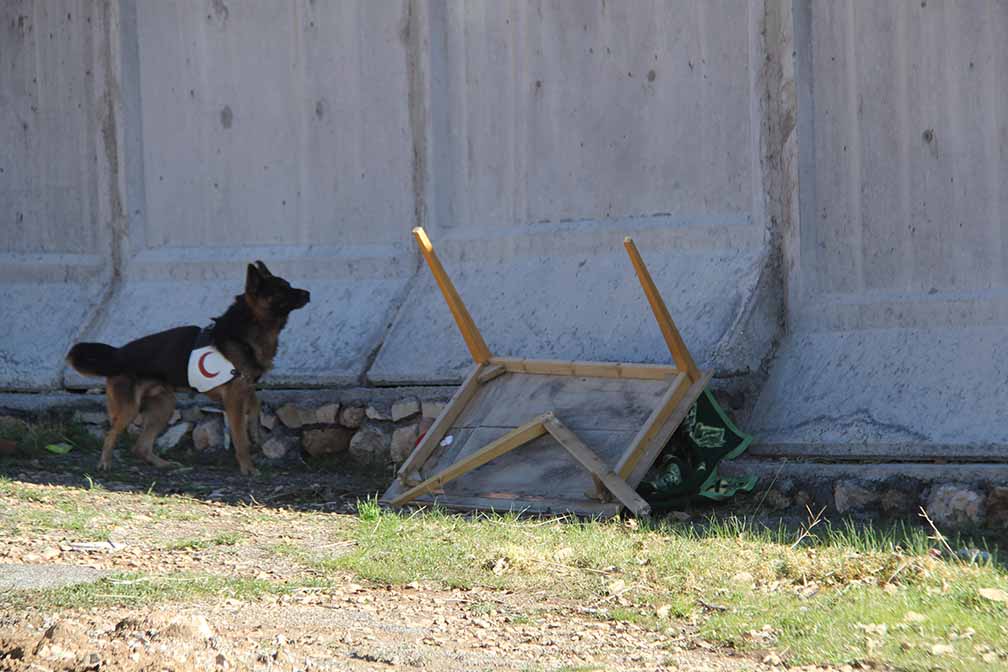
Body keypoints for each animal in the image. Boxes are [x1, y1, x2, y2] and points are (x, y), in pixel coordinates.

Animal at [65, 259, 308, 475]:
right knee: (111, 434)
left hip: (164, 406)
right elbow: (240, 438)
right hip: (130, 409)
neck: (247, 328)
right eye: (282, 289)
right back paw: (105, 463)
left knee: (141, 447)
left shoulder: (246, 388)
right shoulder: (234, 399)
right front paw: (247, 467)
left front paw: (256, 432)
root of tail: (118, 354)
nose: (308, 293)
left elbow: (256, 406)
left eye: (289, 285)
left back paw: (163, 464)